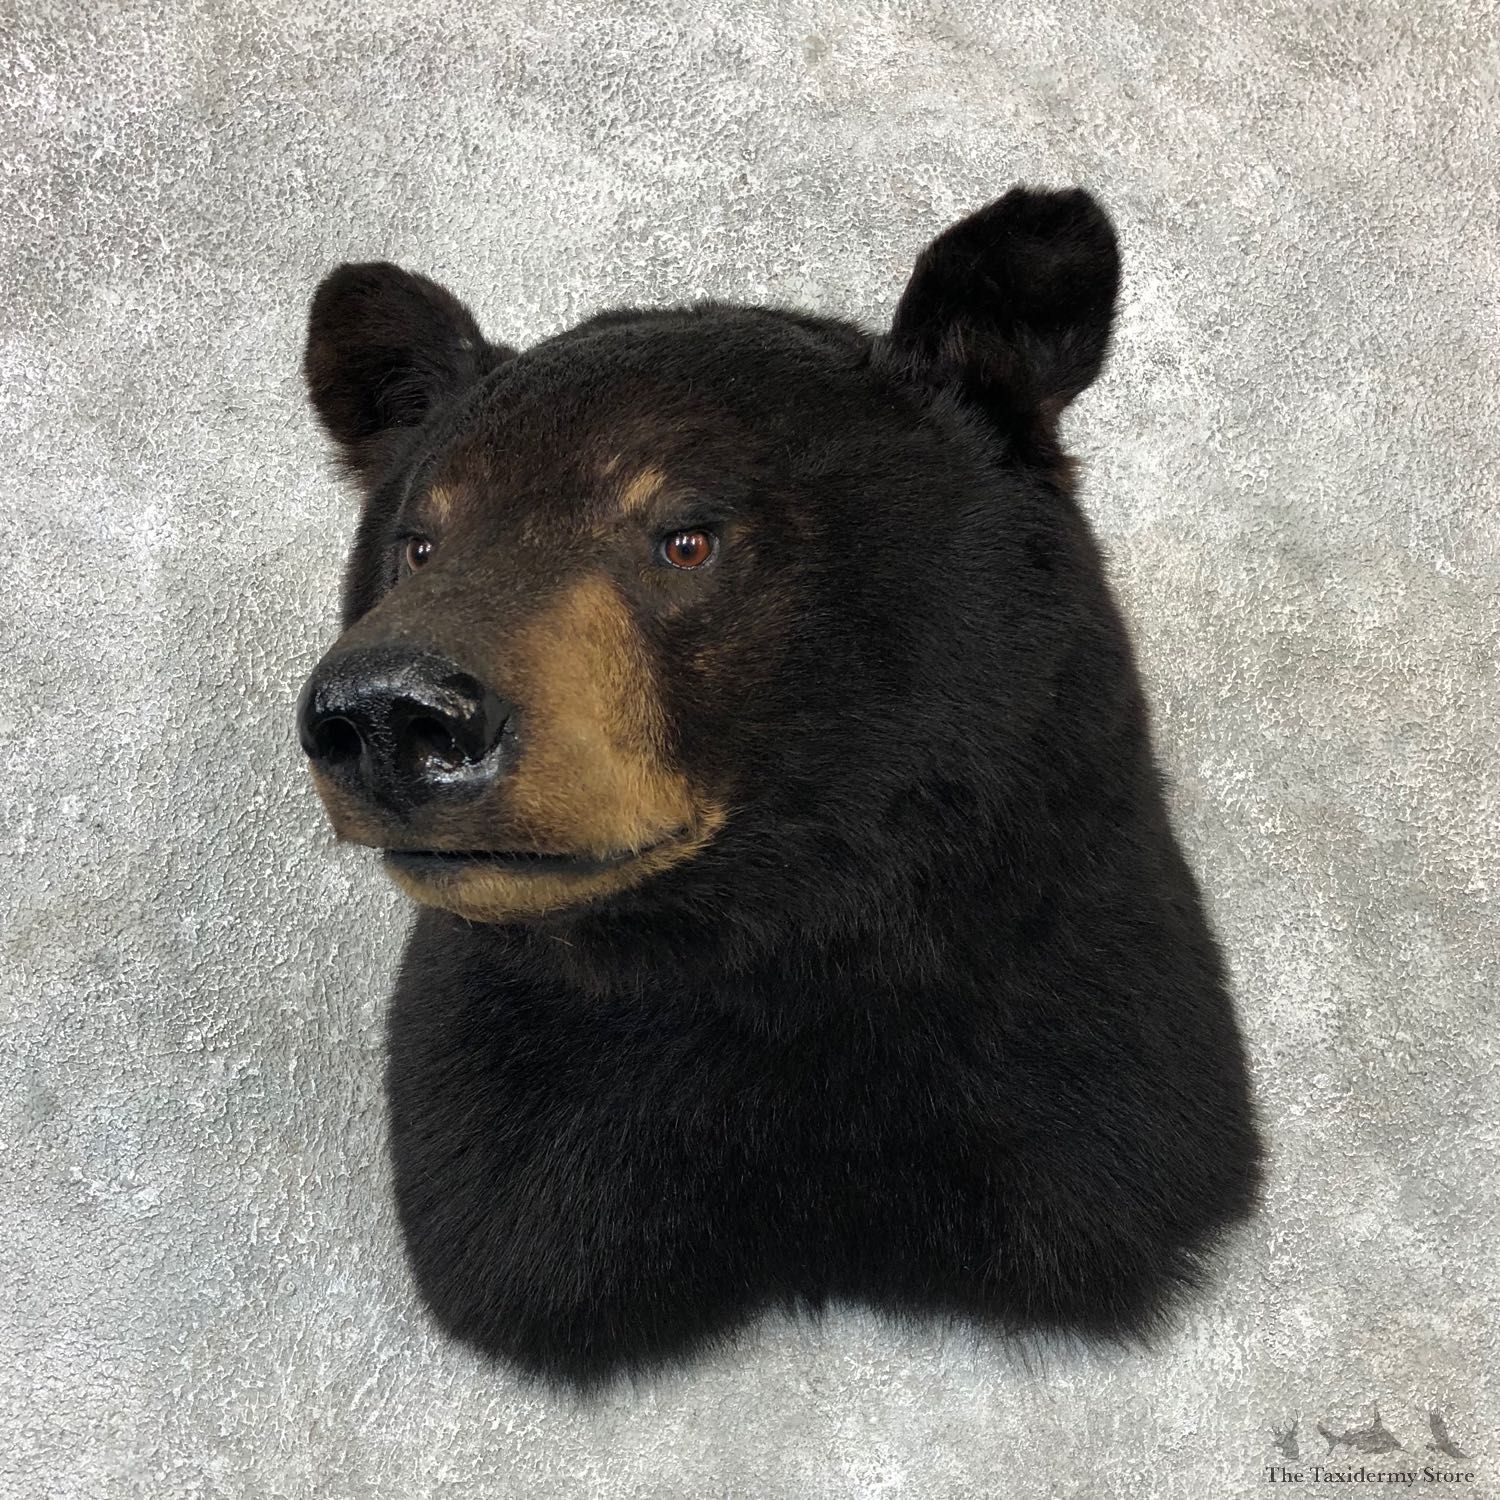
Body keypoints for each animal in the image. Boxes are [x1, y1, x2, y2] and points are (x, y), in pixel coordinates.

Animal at [295, 186, 1263, 1391]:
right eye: (420, 543)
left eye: (686, 538)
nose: (391, 711)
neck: (772, 951)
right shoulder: (516, 1109)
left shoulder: (1083, 1042)